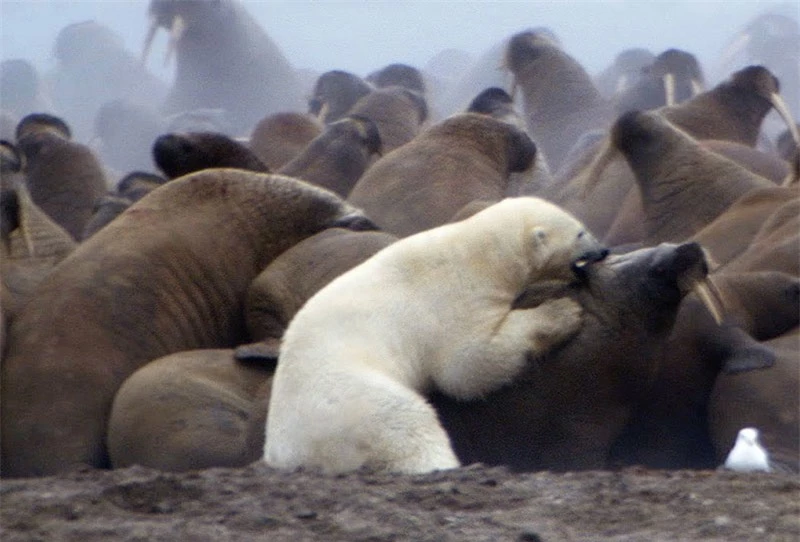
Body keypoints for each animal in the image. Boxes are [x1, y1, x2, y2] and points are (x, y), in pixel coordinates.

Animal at [262, 197, 608, 476]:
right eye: (580, 232)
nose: (604, 249)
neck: (478, 254)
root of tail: (285, 452)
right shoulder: (452, 300)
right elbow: (467, 366)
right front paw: (564, 311)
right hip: (345, 401)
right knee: (404, 421)